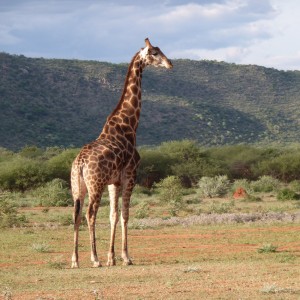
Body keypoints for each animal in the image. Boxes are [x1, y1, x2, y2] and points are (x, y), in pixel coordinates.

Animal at [70, 37, 172, 268]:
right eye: (154, 53)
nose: (169, 63)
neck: (129, 125)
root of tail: (79, 163)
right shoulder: (130, 175)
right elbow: (125, 214)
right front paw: (125, 257)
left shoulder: (114, 181)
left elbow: (113, 216)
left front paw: (112, 257)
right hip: (95, 184)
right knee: (90, 214)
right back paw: (94, 258)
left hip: (77, 187)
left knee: (76, 214)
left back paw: (75, 260)